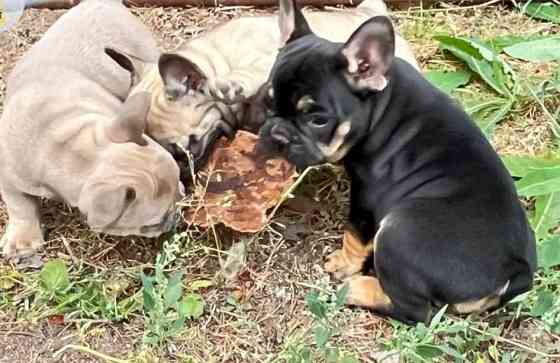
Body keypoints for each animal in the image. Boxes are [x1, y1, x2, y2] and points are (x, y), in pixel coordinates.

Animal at [0, 0, 182, 258]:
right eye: (154, 223)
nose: (177, 213)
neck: (70, 145)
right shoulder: (8, 176)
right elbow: (19, 205)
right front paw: (23, 240)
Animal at [107, 0, 418, 168]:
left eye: (189, 146)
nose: (184, 171)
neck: (215, 59)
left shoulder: (265, 57)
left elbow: (246, 74)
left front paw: (229, 84)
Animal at [258, 0, 540, 324]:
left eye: (318, 120)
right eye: (267, 102)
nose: (277, 134)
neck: (379, 105)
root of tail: (511, 272)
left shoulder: (367, 197)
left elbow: (355, 234)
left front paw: (343, 264)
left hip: (397, 233)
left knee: (414, 311)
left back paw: (357, 288)